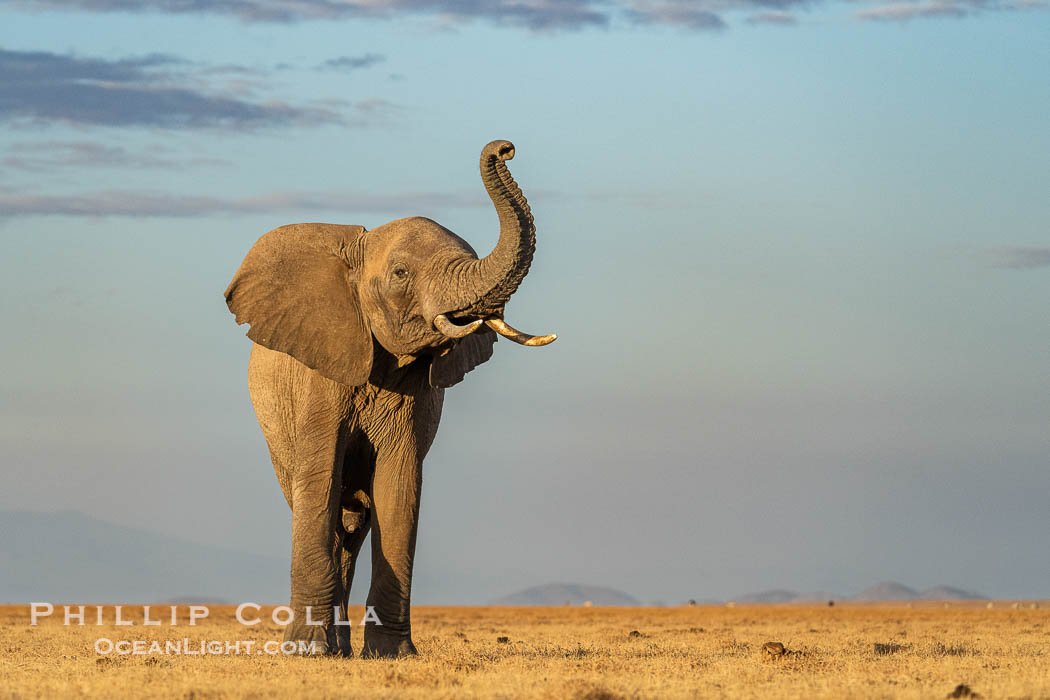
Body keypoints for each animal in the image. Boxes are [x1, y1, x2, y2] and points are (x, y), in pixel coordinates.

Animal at [224, 140, 554, 659]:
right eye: (400, 274)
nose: (505, 148)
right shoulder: (320, 375)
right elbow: (319, 482)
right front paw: (309, 652)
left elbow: (400, 487)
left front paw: (391, 655)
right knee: (322, 509)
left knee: (354, 524)